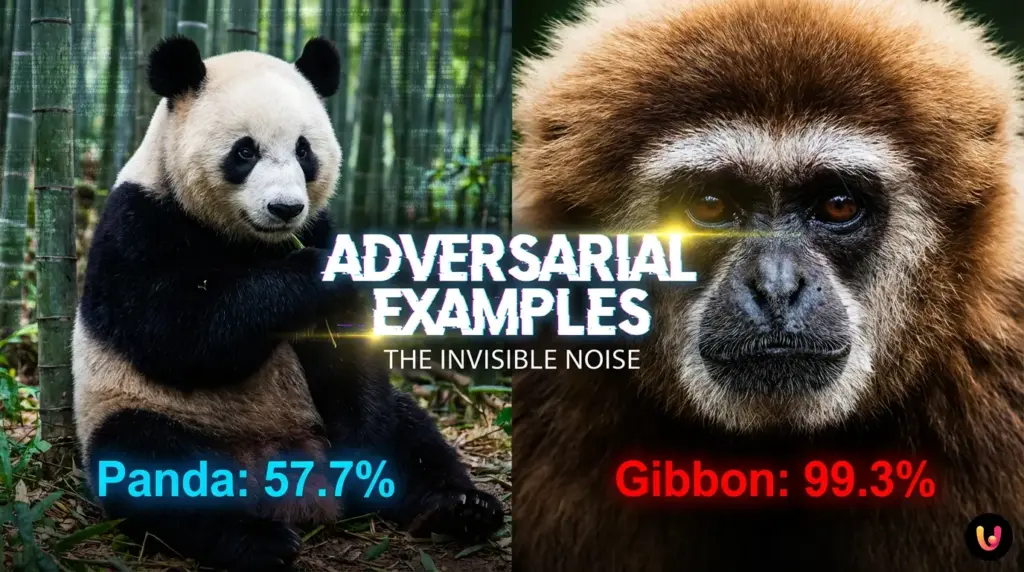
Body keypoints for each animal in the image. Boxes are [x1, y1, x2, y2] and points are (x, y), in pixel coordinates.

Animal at [72, 36, 504, 571]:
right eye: (244, 151)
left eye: (304, 150)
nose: (285, 208)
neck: (254, 242)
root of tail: (291, 485)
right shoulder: (138, 226)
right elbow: (178, 336)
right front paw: (310, 274)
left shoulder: (319, 224)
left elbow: (350, 363)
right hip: (139, 410)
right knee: (151, 464)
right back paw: (257, 540)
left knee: (413, 431)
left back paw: (459, 508)